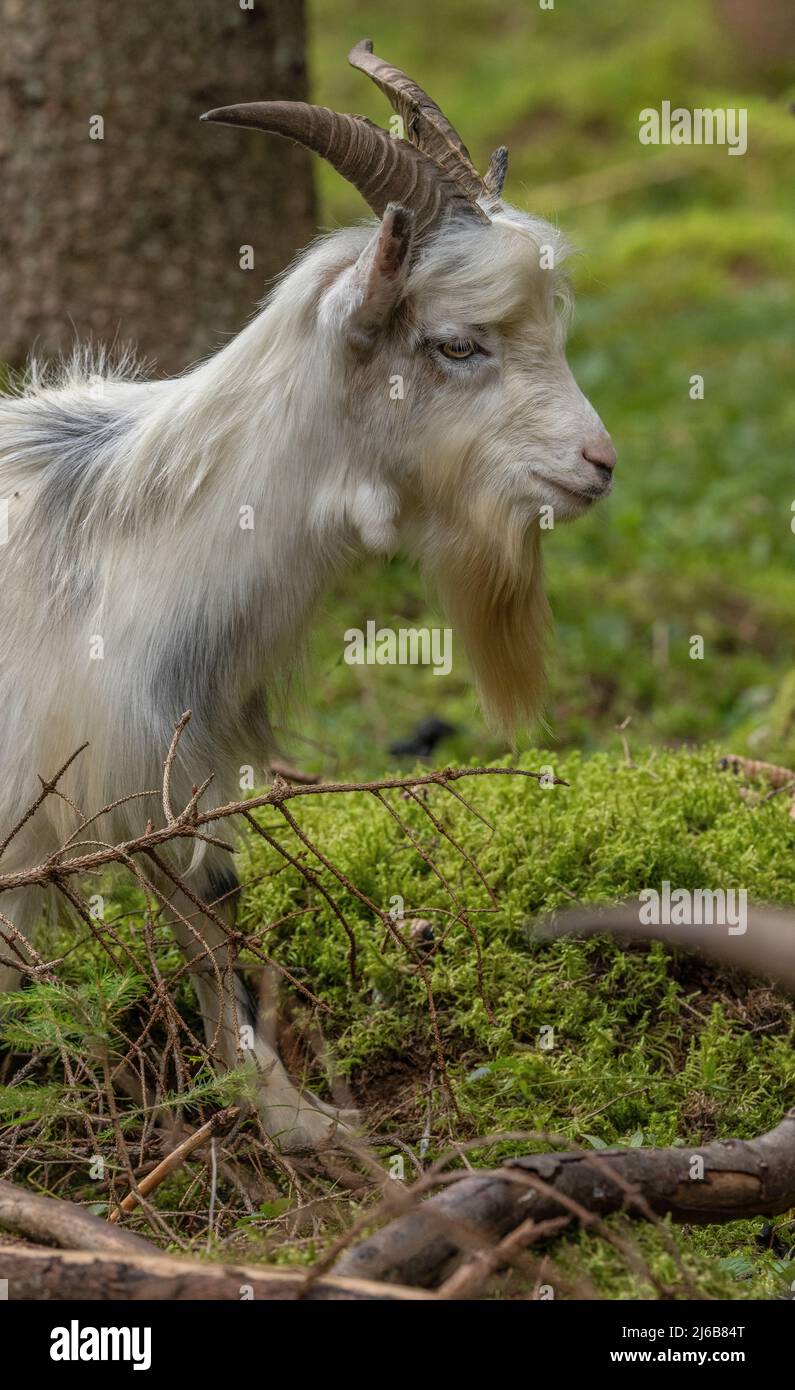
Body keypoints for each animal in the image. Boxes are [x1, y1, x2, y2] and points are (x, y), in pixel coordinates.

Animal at [0, 40, 617, 1150]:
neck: (121, 533)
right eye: (457, 343)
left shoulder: (182, 756)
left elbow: (215, 908)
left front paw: (281, 1108)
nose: (598, 464)